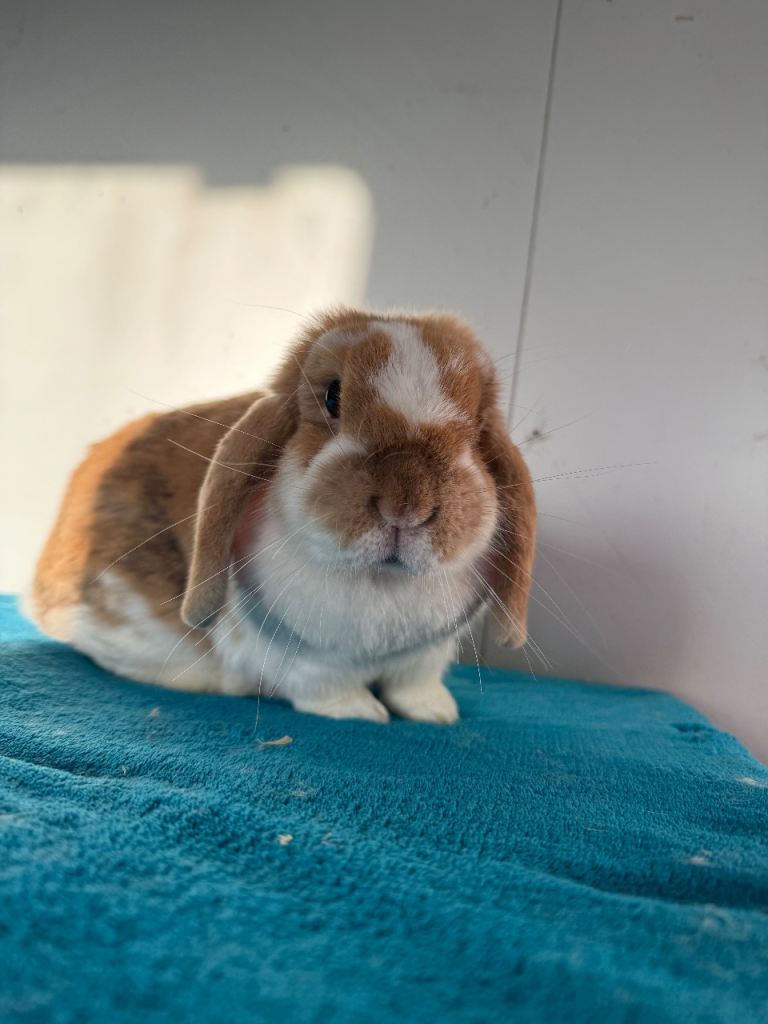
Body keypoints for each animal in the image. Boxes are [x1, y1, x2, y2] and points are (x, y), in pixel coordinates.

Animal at [26, 308, 536, 723]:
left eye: (478, 423)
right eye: (332, 396)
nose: (407, 505)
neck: (384, 584)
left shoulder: (424, 658)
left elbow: (415, 688)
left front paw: (438, 714)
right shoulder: (298, 658)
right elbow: (326, 687)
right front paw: (362, 713)